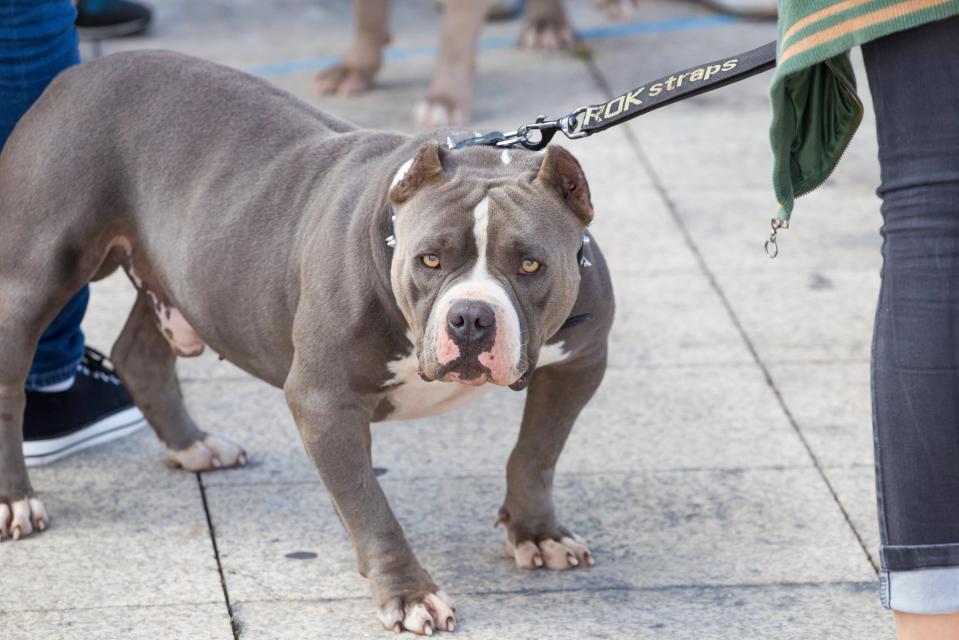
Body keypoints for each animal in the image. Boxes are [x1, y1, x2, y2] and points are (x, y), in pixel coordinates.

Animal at [0, 51, 616, 636]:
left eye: (531, 264)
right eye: (430, 259)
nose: (469, 318)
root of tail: (74, 75)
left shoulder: (579, 364)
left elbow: (535, 454)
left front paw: (537, 532)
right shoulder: (325, 401)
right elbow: (370, 506)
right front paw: (409, 593)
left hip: (183, 275)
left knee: (139, 355)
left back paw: (194, 446)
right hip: (34, 275)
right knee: (12, 383)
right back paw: (16, 500)